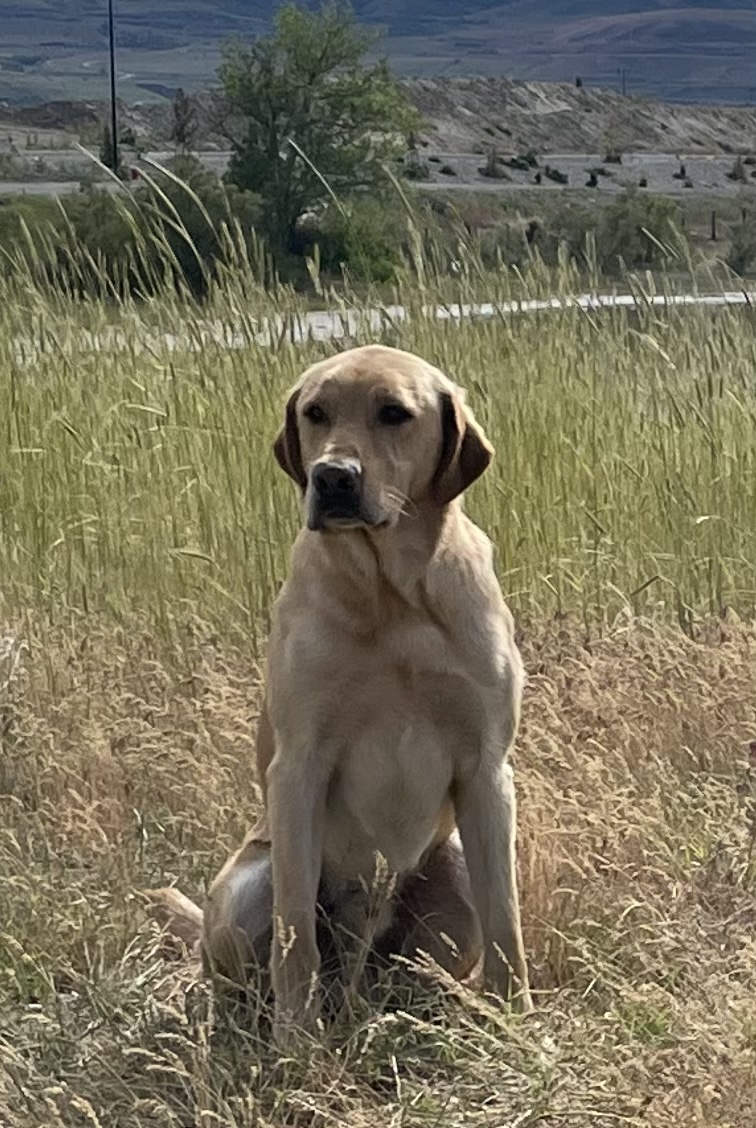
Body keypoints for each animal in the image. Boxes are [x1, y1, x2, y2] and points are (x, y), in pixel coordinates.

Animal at [150, 340, 532, 1037]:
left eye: (394, 413)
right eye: (315, 412)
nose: (332, 477)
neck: (393, 596)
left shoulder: (487, 769)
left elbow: (506, 925)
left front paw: (518, 1023)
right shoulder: (299, 766)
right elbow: (295, 935)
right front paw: (298, 1042)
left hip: (453, 863)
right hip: (251, 882)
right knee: (258, 967)